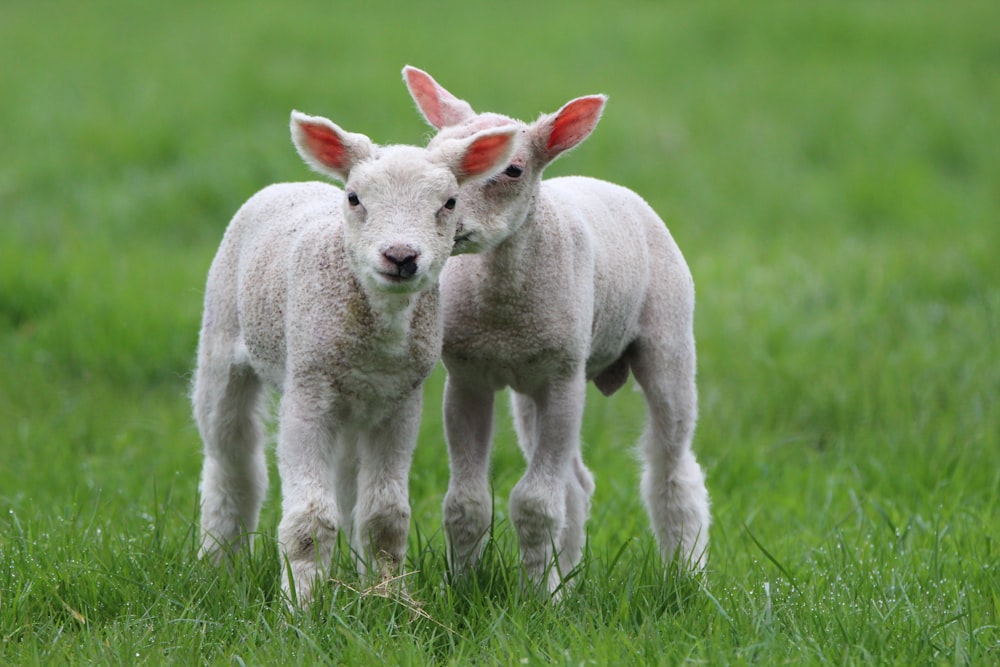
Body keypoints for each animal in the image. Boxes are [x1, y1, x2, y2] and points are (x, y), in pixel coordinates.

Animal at [191, 111, 516, 604]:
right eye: (355, 198)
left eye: (450, 202)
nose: (400, 256)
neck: (381, 330)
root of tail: (289, 184)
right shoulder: (307, 392)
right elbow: (309, 520)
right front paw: (301, 605)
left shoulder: (401, 402)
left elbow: (384, 515)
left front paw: (387, 595)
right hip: (223, 340)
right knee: (232, 464)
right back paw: (217, 565)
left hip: (353, 404)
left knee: (346, 483)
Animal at [400, 65, 712, 592]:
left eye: (512, 170)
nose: (447, 224)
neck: (503, 310)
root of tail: (605, 184)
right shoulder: (468, 378)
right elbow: (467, 503)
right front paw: (464, 588)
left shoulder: (562, 379)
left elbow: (535, 504)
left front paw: (535, 599)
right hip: (532, 384)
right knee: (577, 485)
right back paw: (566, 577)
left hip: (666, 338)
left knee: (673, 468)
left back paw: (686, 572)